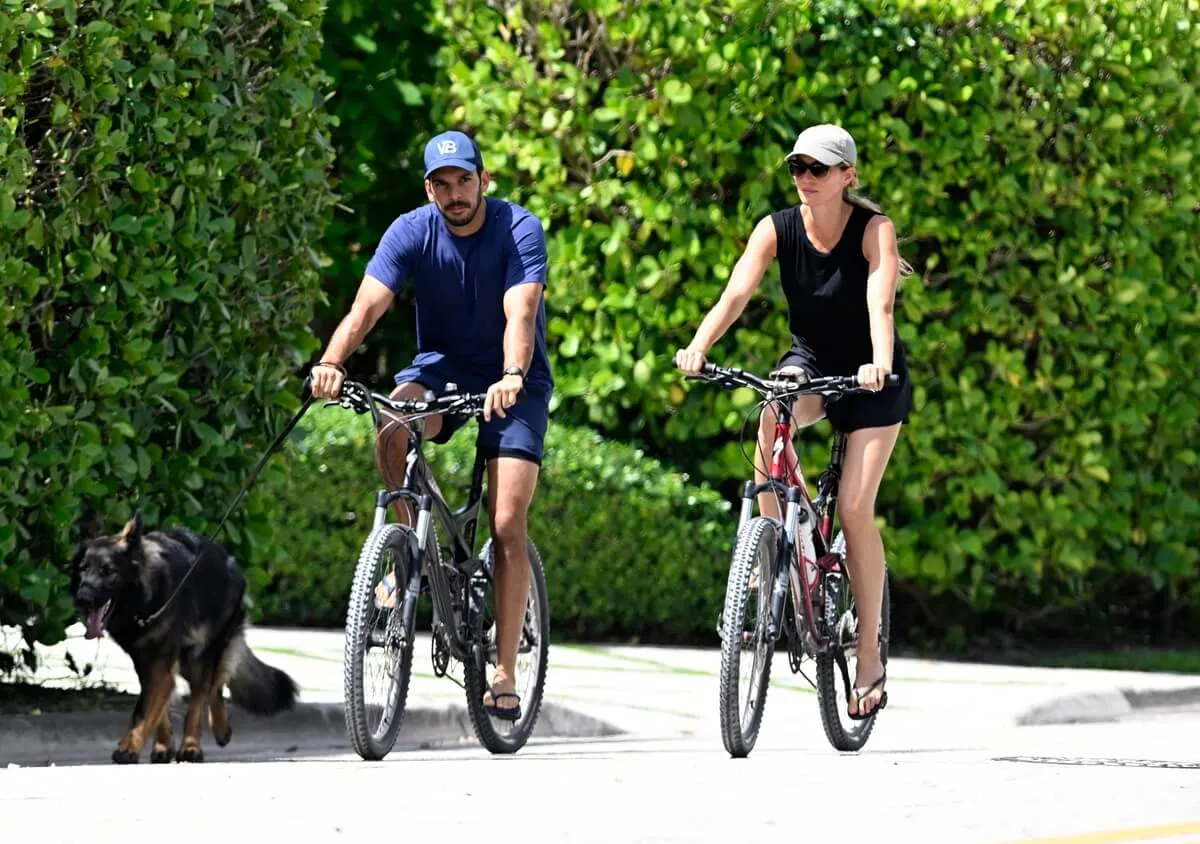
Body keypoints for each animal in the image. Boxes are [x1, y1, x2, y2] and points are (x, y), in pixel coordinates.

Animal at [69, 513, 297, 768]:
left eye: (108, 571)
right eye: (83, 569)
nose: (82, 599)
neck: (143, 602)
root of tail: (229, 560)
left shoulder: (160, 662)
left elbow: (145, 709)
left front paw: (128, 747)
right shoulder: (147, 662)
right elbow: (159, 706)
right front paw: (162, 746)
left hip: (202, 656)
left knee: (203, 694)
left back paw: (192, 745)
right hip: (188, 660)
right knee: (212, 688)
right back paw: (215, 731)